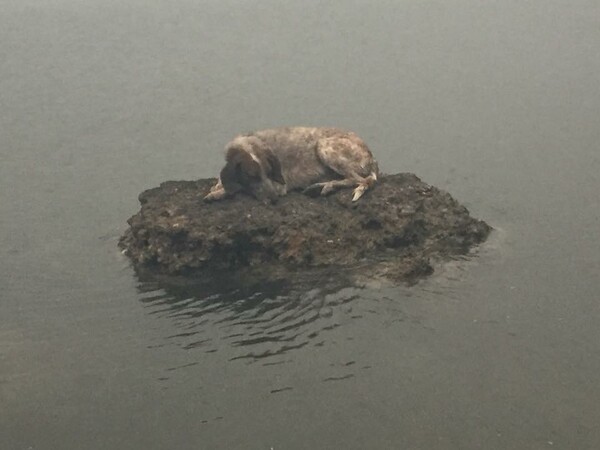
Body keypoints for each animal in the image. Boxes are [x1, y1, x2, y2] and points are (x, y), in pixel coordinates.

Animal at [204, 127, 378, 203]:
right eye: (251, 176)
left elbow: (238, 189)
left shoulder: (279, 185)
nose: (274, 199)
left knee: (360, 180)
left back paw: (325, 186)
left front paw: (218, 193)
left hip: (323, 146)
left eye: (269, 172)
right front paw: (217, 187)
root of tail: (372, 158)